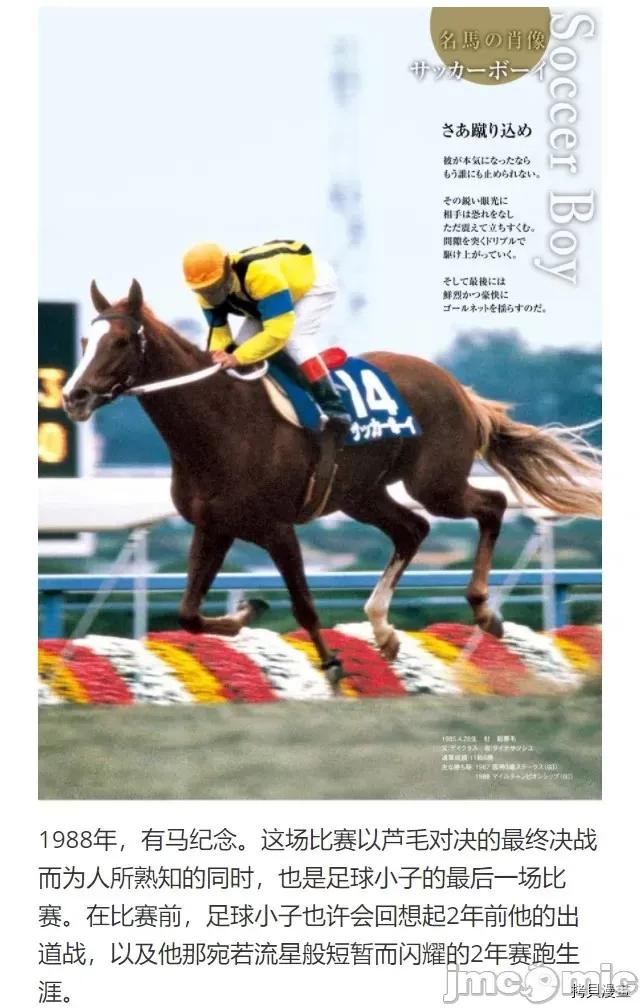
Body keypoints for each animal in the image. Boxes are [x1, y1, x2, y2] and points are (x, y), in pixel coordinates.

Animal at [63, 279, 601, 685]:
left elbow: (303, 606)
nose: (74, 396)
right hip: (362, 494)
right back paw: (383, 629)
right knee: (413, 530)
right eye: (86, 343)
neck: (221, 421)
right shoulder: (214, 527)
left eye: (120, 342)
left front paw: (333, 666)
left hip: (436, 484)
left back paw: (483, 610)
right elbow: (188, 614)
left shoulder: (277, 528)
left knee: (489, 505)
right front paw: (246, 612)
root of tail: (456, 385)